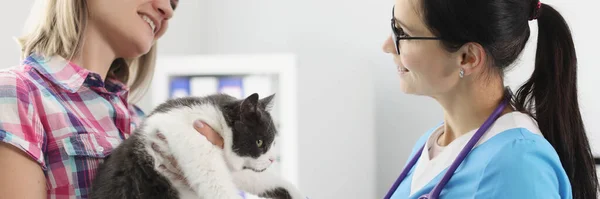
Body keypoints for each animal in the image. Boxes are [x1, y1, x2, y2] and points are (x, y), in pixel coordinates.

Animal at [90, 93, 304, 199]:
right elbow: (216, 185)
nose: (272, 159)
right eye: (260, 142)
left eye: (273, 142)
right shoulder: (192, 138)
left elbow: (254, 178)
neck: (214, 117)